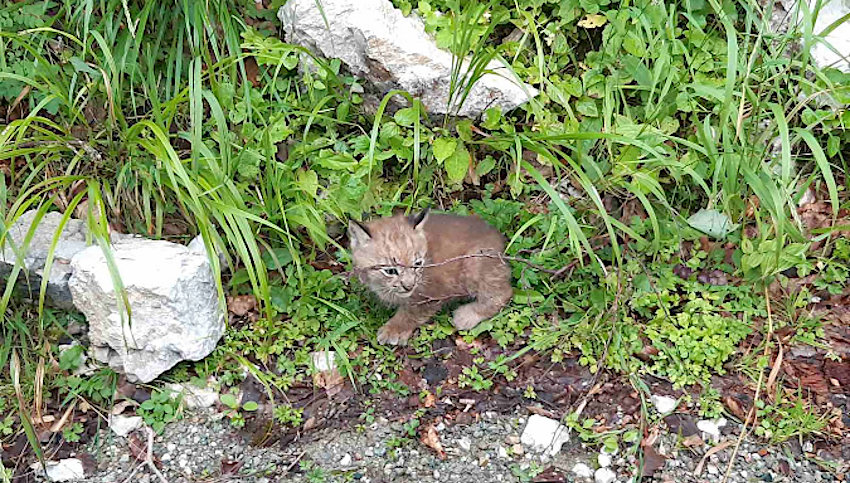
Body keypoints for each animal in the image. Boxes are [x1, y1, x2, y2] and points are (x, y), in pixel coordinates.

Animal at [346, 210, 510, 346]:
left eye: (417, 264)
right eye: (390, 271)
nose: (409, 286)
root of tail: (497, 235)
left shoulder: (432, 293)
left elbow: (412, 312)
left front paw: (394, 329)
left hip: (473, 264)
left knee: (502, 293)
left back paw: (466, 315)